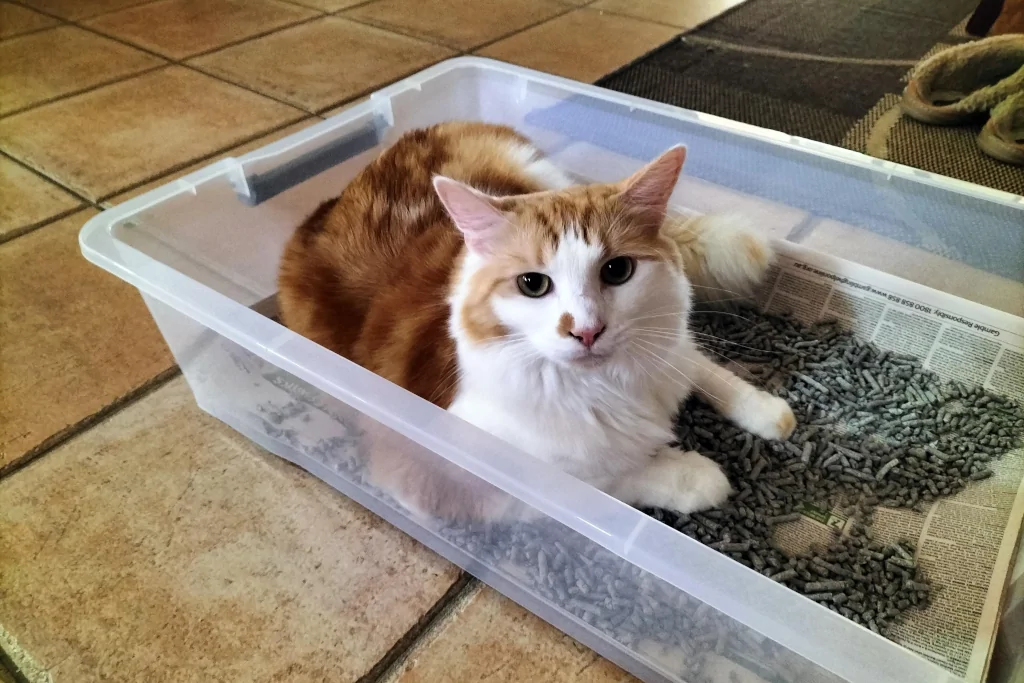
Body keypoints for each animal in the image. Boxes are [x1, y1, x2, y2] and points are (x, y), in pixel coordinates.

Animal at [276, 121, 794, 524]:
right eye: (532, 284)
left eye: (617, 271)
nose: (586, 330)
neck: (605, 386)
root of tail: (329, 202)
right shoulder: (441, 480)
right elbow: (599, 486)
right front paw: (695, 475)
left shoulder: (672, 343)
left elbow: (702, 366)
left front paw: (769, 412)